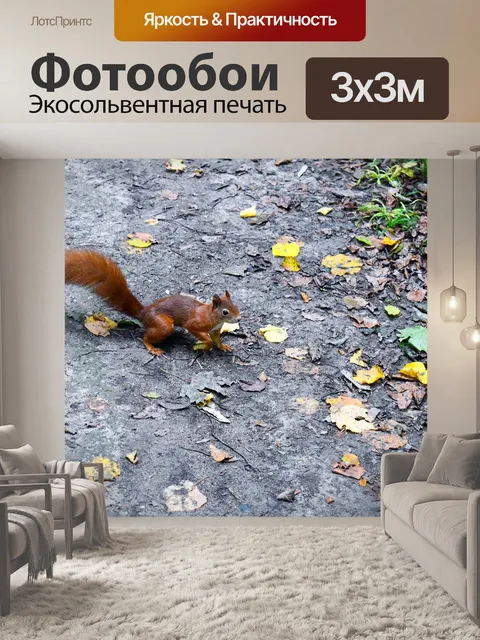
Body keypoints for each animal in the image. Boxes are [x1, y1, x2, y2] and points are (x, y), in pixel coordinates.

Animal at [65, 249, 241, 356]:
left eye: (236, 306)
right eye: (225, 311)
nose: (239, 318)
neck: (212, 317)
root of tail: (144, 313)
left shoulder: (216, 330)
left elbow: (217, 339)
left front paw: (223, 346)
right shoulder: (195, 324)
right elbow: (200, 334)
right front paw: (206, 345)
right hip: (163, 325)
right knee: (145, 337)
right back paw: (152, 348)